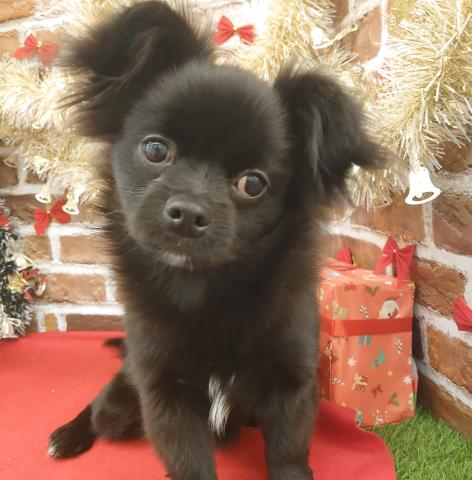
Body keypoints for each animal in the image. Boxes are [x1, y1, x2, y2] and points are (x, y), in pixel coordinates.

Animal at [47, 2, 385, 479]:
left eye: (253, 183)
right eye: (155, 150)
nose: (189, 213)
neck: (206, 288)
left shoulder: (293, 385)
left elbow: (288, 453)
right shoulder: (163, 393)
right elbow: (189, 461)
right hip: (122, 399)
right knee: (100, 408)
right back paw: (69, 434)